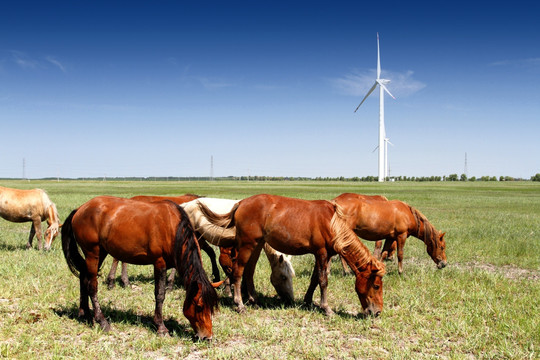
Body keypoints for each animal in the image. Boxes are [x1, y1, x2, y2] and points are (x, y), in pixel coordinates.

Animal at [63, 195, 221, 338]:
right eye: (199, 306)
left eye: (212, 308)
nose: (207, 337)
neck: (173, 227)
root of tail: (80, 209)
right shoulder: (159, 263)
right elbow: (160, 294)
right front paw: (161, 327)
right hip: (93, 253)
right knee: (92, 286)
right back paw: (102, 321)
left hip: (101, 253)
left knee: (84, 277)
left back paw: (84, 314)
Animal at [196, 195, 386, 316]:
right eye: (376, 286)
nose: (377, 312)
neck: (331, 223)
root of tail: (241, 203)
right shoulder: (322, 253)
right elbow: (323, 280)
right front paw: (326, 308)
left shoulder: (320, 254)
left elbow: (315, 279)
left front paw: (309, 301)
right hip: (246, 245)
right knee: (238, 272)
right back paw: (239, 304)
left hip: (257, 245)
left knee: (249, 271)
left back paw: (253, 299)